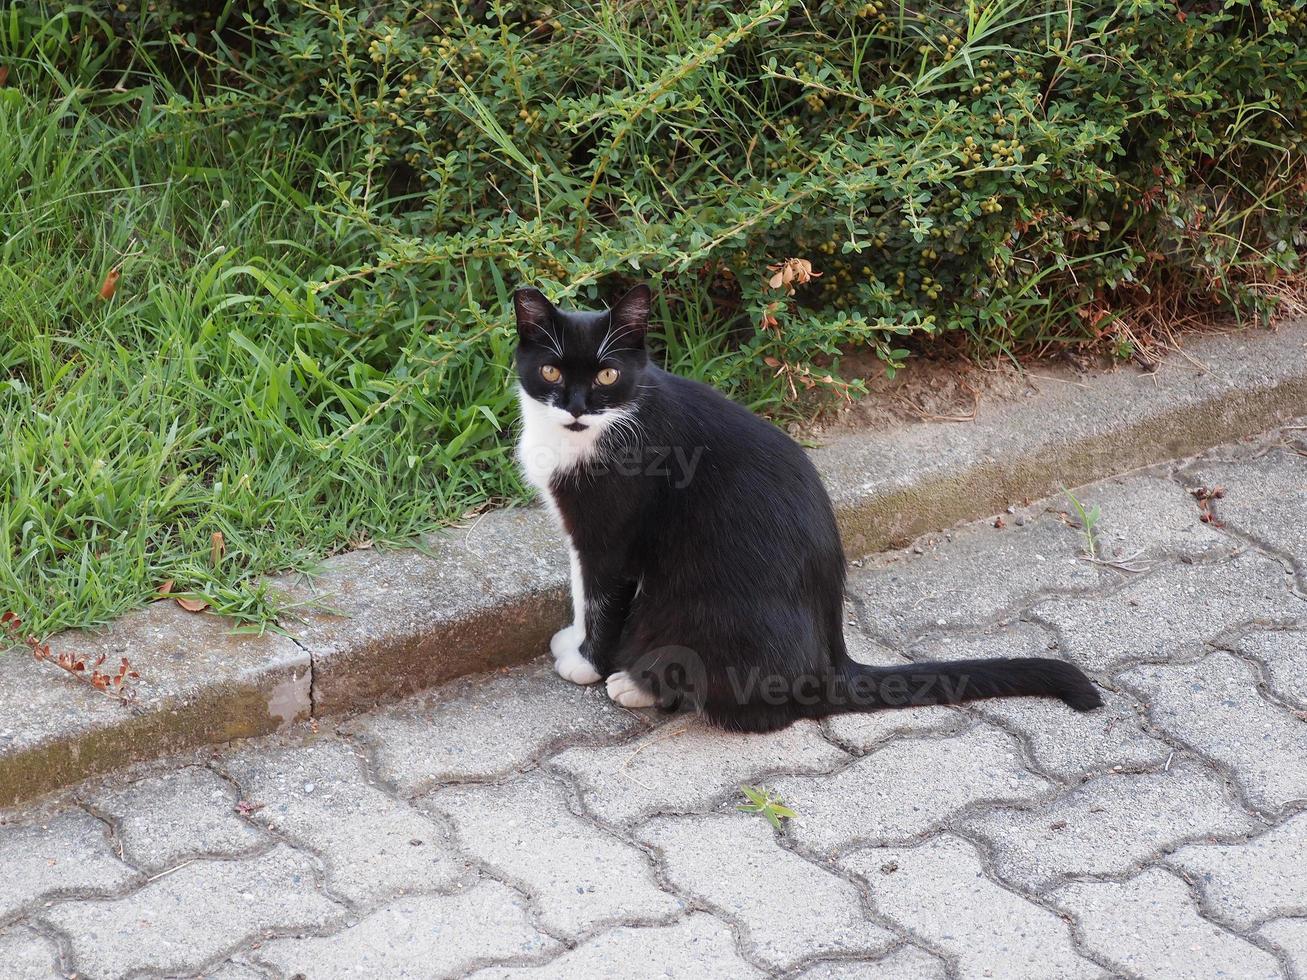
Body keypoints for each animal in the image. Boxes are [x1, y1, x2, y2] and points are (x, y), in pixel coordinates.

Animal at [512, 282, 1103, 731]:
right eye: (551, 372)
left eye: (608, 374)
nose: (577, 408)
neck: (596, 432)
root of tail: (830, 667)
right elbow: (579, 587)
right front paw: (574, 640)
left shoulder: (611, 532)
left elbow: (601, 597)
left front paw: (586, 663)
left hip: (700, 609)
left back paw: (636, 683)